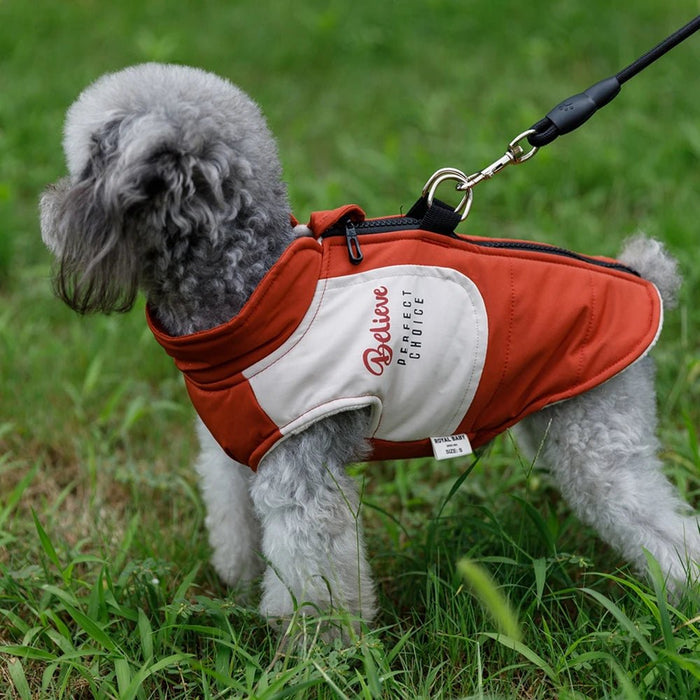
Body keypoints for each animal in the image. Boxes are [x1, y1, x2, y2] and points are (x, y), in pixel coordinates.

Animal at [41, 64, 696, 636]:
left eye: (82, 168)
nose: (46, 211)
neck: (254, 289)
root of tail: (645, 277)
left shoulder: (304, 471)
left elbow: (314, 578)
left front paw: (318, 653)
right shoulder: (239, 453)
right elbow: (237, 527)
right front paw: (239, 586)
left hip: (597, 441)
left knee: (665, 529)